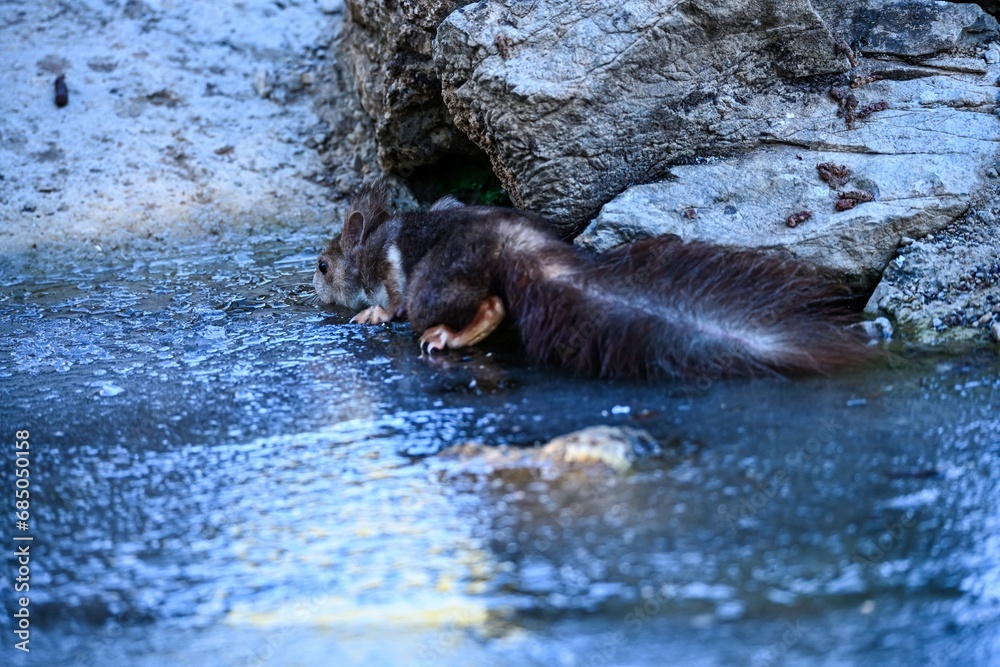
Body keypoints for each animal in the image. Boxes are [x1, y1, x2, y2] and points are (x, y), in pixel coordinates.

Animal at [313, 179, 872, 380]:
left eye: (322, 266)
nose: (313, 288)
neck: (368, 246)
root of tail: (517, 246)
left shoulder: (390, 271)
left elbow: (390, 300)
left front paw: (371, 312)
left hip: (435, 283)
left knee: (488, 307)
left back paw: (444, 336)